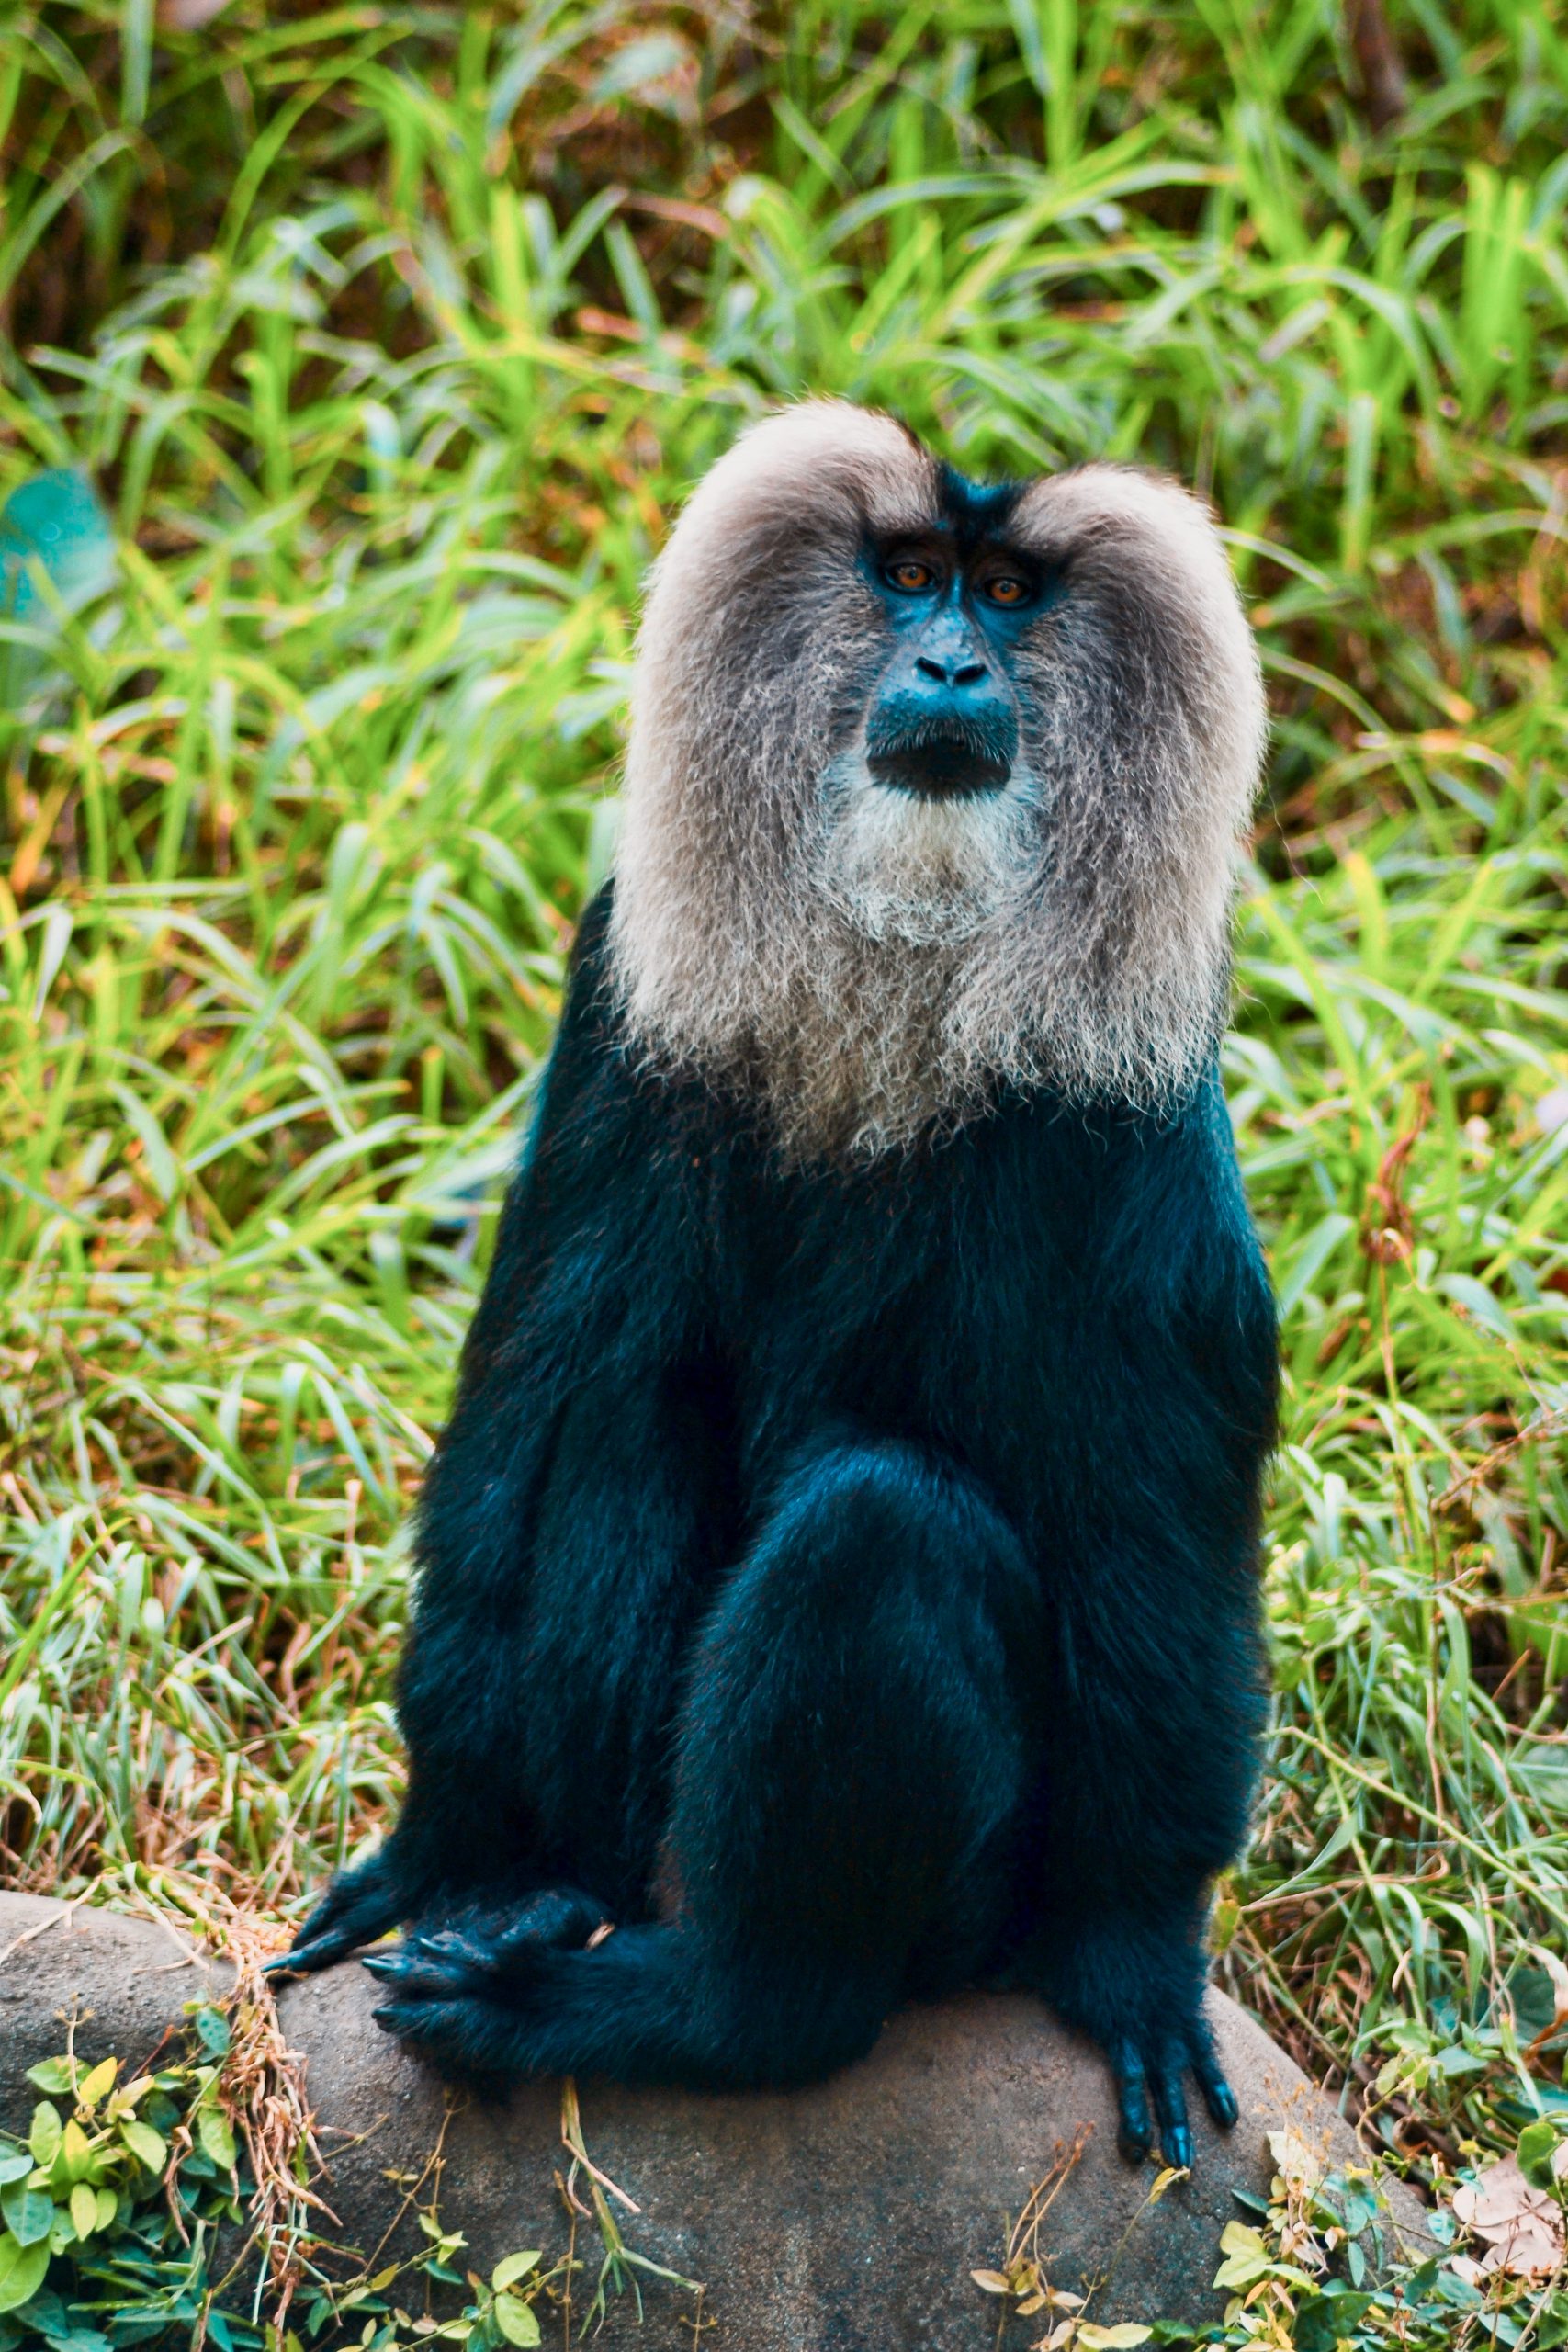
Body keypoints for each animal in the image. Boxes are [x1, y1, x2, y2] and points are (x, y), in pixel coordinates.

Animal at [282, 400, 1279, 2164]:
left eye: (1005, 595)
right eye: (906, 576)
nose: (948, 663)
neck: (905, 961)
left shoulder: (1132, 1113)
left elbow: (1153, 1532)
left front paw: (1136, 1955)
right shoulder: (622, 996)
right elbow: (542, 1383)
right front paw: (439, 1845)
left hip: (970, 1905)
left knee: (877, 1527)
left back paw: (686, 2007)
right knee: (617, 1407)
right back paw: (534, 1893)